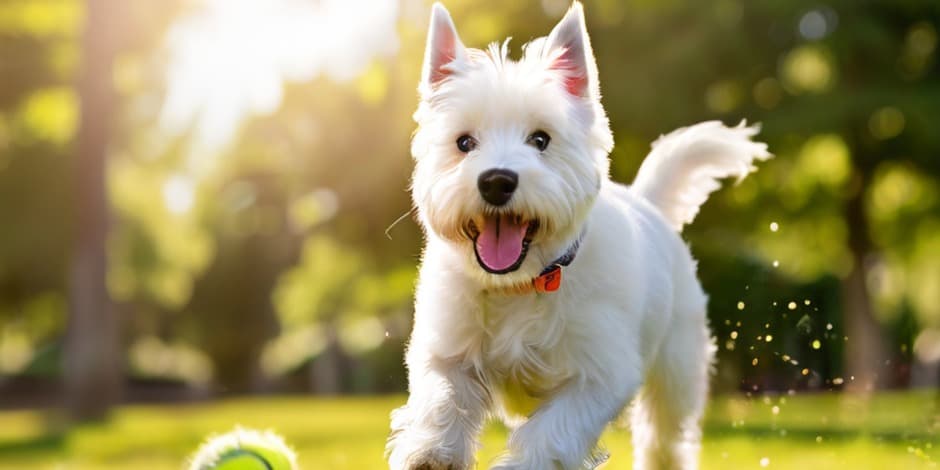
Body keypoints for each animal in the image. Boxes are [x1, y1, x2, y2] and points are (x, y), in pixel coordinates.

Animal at [388, 1, 772, 468]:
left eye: (541, 139)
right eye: (464, 142)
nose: (496, 181)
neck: (521, 285)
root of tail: (648, 203)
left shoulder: (599, 376)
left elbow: (553, 432)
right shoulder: (448, 351)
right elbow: (442, 397)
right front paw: (432, 452)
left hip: (676, 371)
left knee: (665, 439)